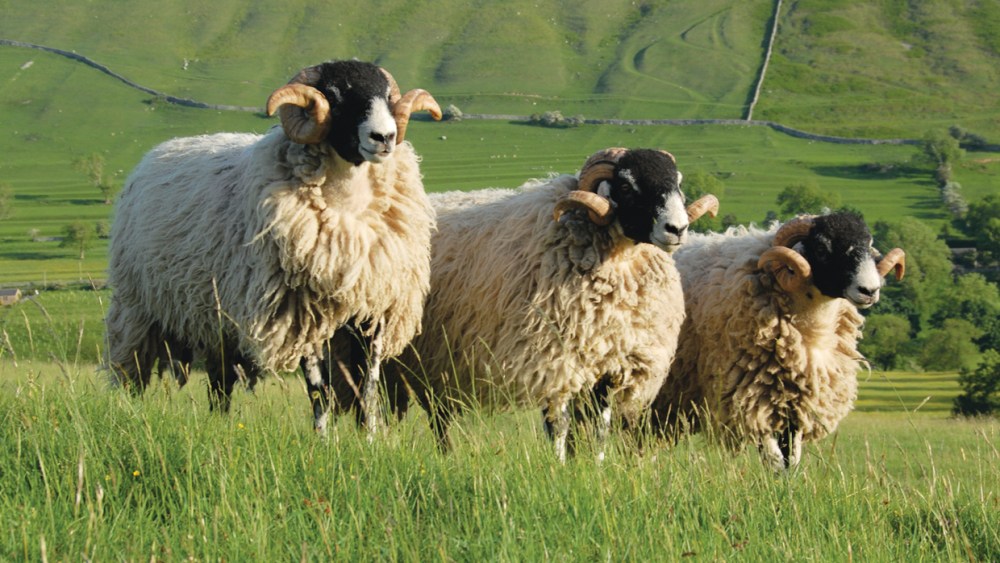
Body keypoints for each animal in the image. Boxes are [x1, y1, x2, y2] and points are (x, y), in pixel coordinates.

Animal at [105, 60, 442, 435]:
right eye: (335, 95)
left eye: (386, 95)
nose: (384, 138)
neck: (348, 208)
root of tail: (159, 151)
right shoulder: (302, 315)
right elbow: (319, 390)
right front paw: (324, 440)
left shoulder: (374, 310)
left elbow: (366, 387)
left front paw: (369, 438)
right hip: (139, 310)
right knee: (132, 372)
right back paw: (130, 412)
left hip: (216, 322)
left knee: (220, 384)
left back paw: (221, 424)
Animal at [386, 147, 719, 460]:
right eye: (626, 186)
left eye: (677, 183)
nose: (677, 229)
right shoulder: (552, 361)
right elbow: (558, 425)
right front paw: (559, 466)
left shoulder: (610, 367)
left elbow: (600, 429)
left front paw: (595, 466)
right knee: (417, 412)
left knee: (437, 411)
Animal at [650, 212, 906, 470]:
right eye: (822, 248)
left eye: (868, 246)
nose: (869, 290)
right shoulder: (752, 398)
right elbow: (774, 461)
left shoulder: (796, 406)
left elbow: (792, 459)